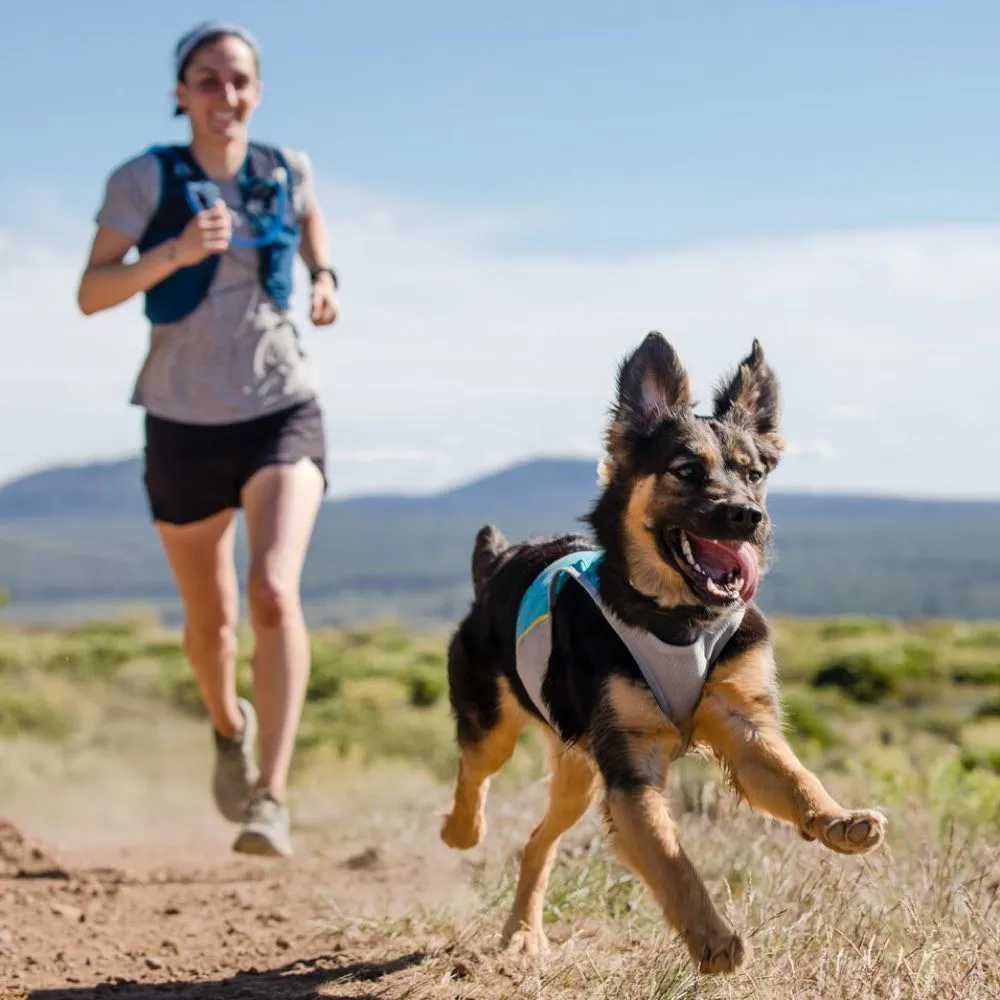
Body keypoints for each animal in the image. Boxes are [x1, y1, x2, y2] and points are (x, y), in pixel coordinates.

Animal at [442, 332, 888, 972]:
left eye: (754, 473)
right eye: (686, 470)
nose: (747, 516)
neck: (678, 620)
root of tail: (497, 562)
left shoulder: (743, 726)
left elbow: (797, 777)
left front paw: (836, 819)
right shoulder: (632, 768)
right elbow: (669, 858)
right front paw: (712, 937)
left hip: (577, 773)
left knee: (536, 842)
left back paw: (523, 930)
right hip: (495, 726)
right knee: (473, 771)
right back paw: (461, 831)